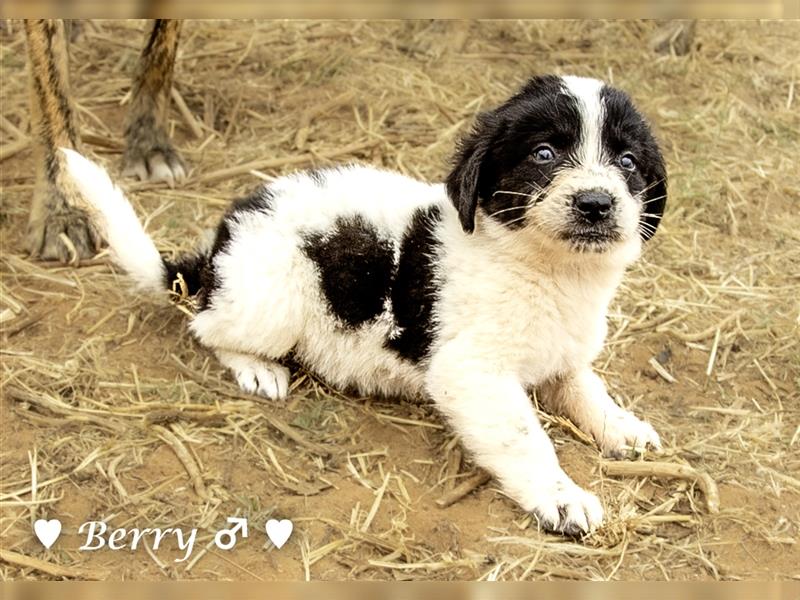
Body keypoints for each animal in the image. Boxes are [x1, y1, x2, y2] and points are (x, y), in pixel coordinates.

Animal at [62, 74, 664, 536]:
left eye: (627, 162)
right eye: (544, 154)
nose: (596, 203)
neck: (548, 269)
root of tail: (221, 243)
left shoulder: (564, 359)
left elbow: (590, 391)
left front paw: (626, 429)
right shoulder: (472, 373)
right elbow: (526, 439)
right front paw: (563, 499)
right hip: (271, 302)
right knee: (207, 327)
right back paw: (257, 369)